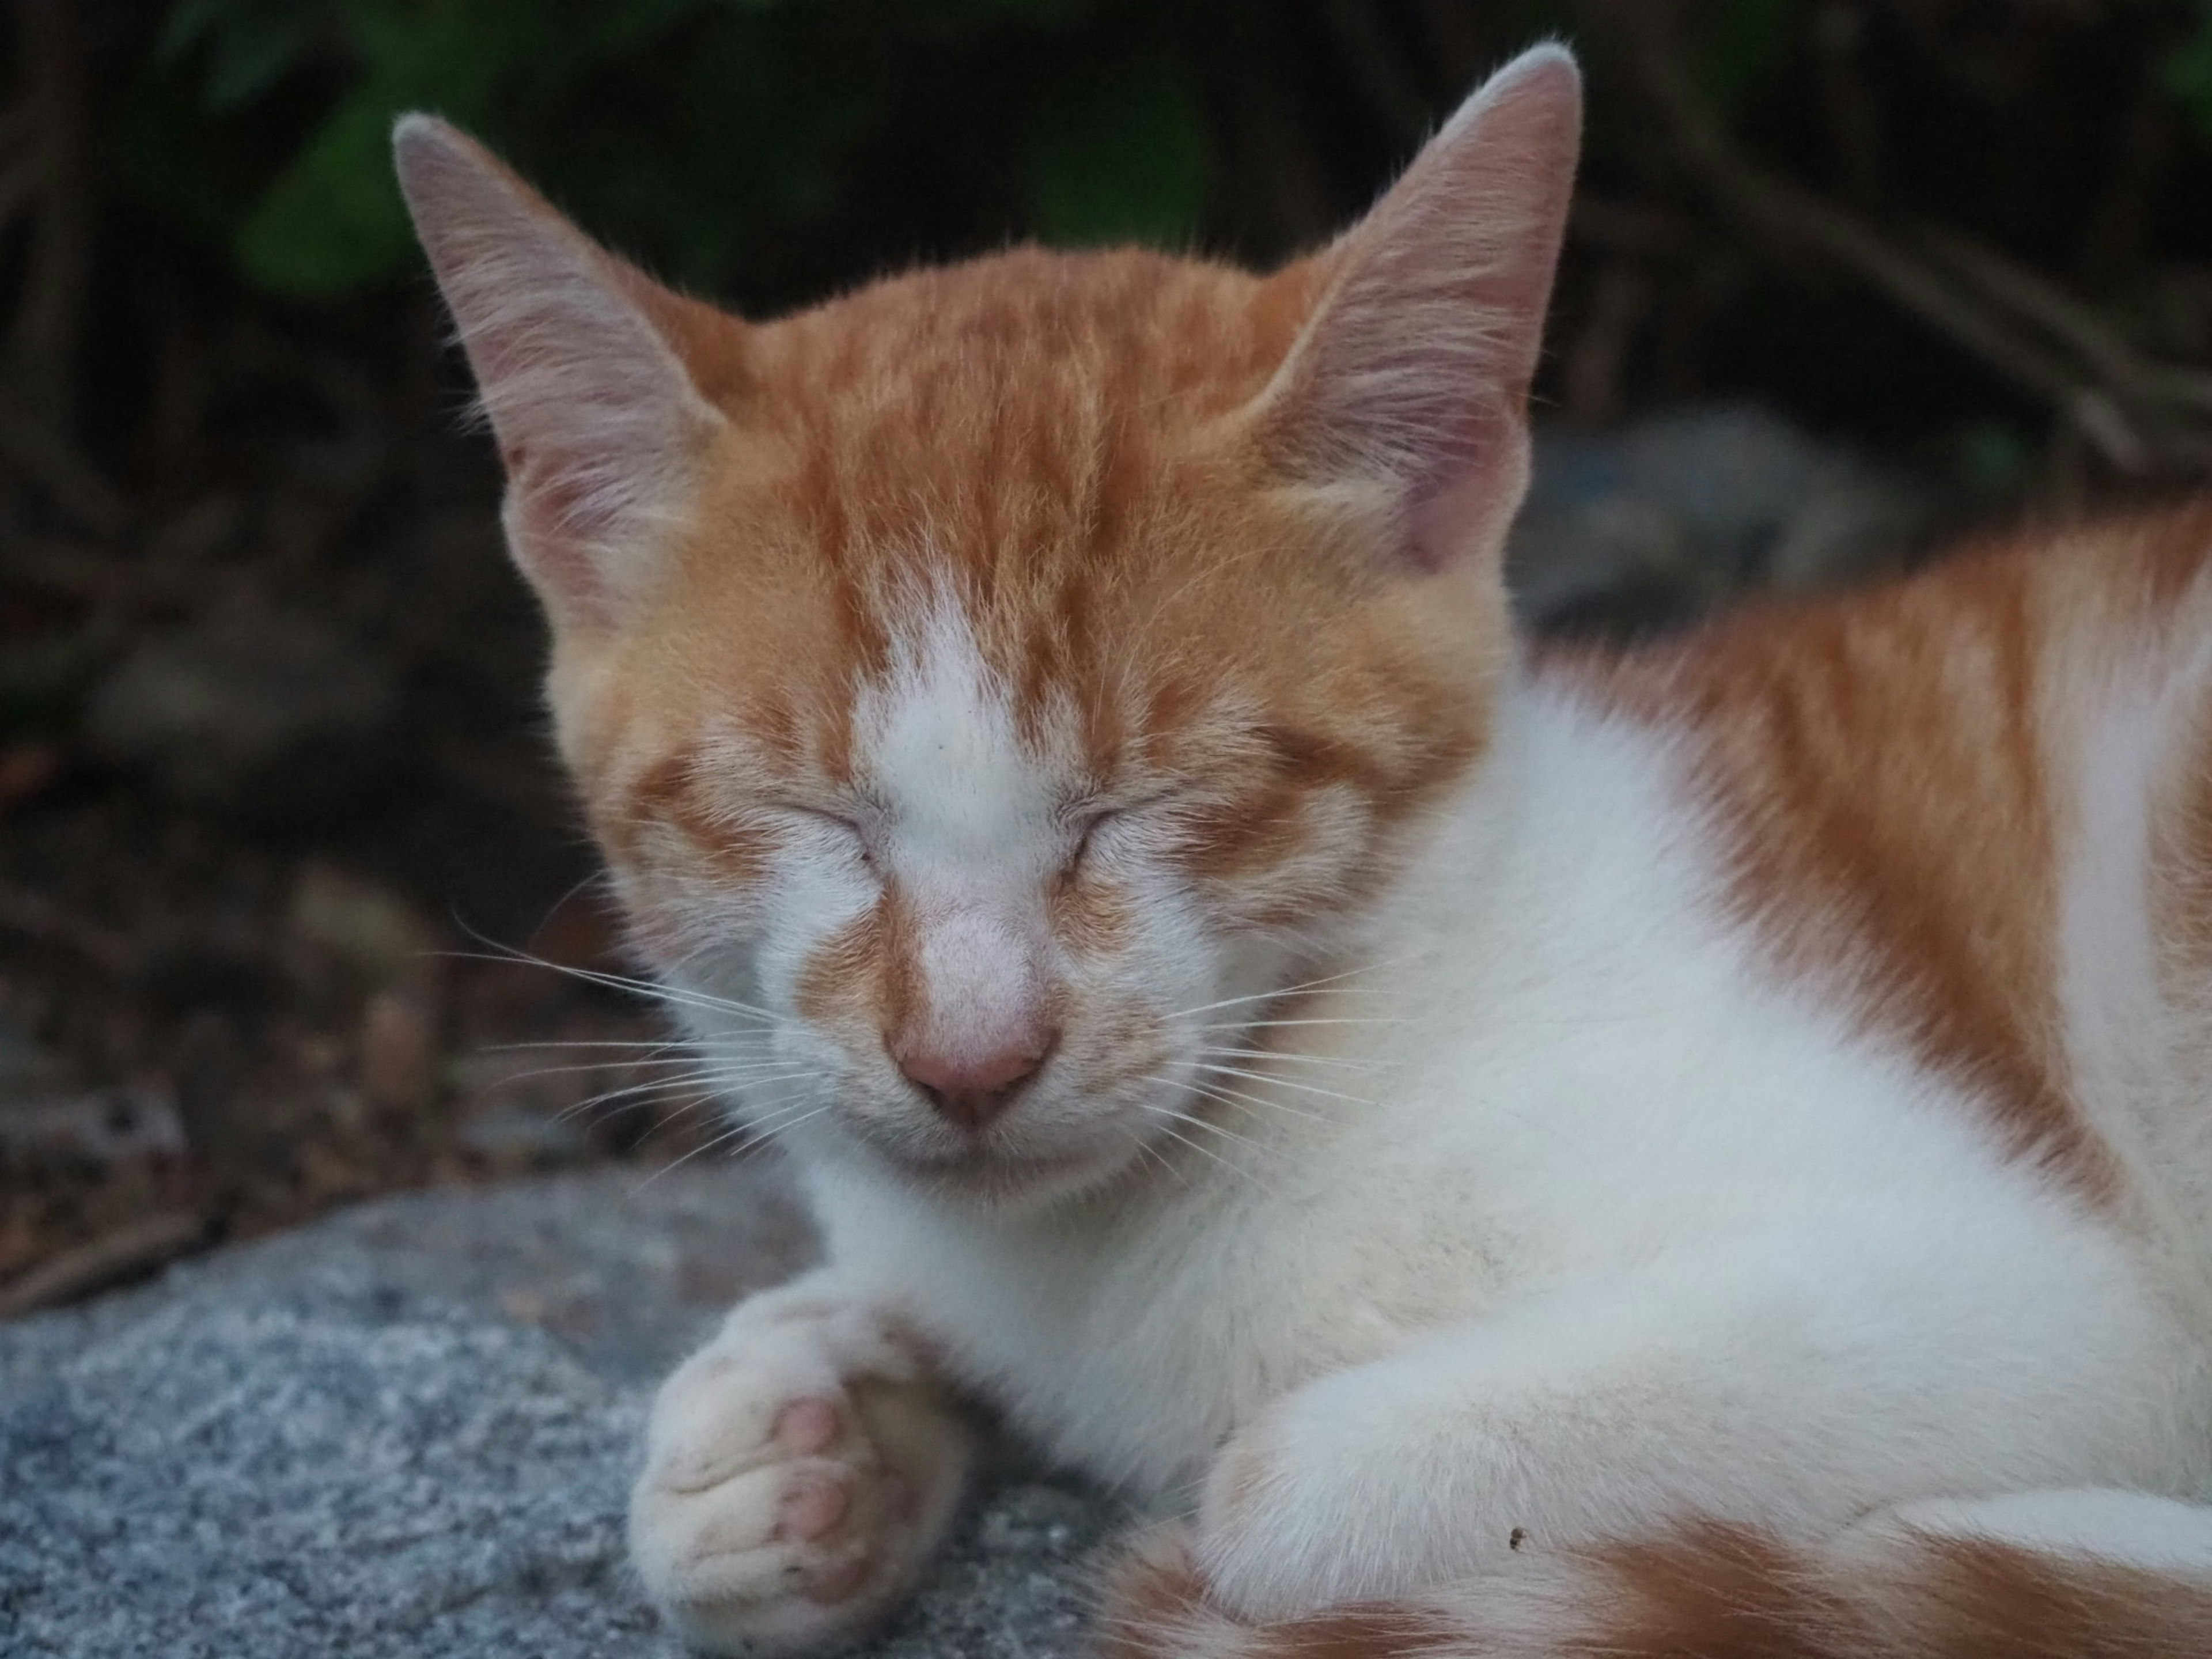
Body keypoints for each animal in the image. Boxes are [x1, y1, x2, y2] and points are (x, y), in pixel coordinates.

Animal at [393, 48, 2212, 1659]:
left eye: (1148, 799)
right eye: (809, 813)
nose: (971, 1057)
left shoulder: (2012, 1291)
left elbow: (1271, 1487)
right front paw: (801, 1418)